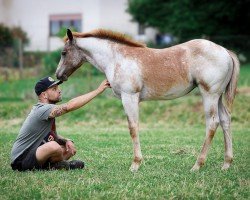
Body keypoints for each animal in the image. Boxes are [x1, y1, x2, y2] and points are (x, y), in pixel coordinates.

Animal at [55, 28, 239, 172]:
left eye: (64, 53)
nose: (58, 76)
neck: (117, 58)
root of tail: (225, 51)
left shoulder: (129, 97)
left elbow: (133, 128)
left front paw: (135, 164)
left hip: (209, 94)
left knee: (212, 123)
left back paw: (197, 165)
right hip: (218, 96)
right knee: (225, 120)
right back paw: (226, 164)